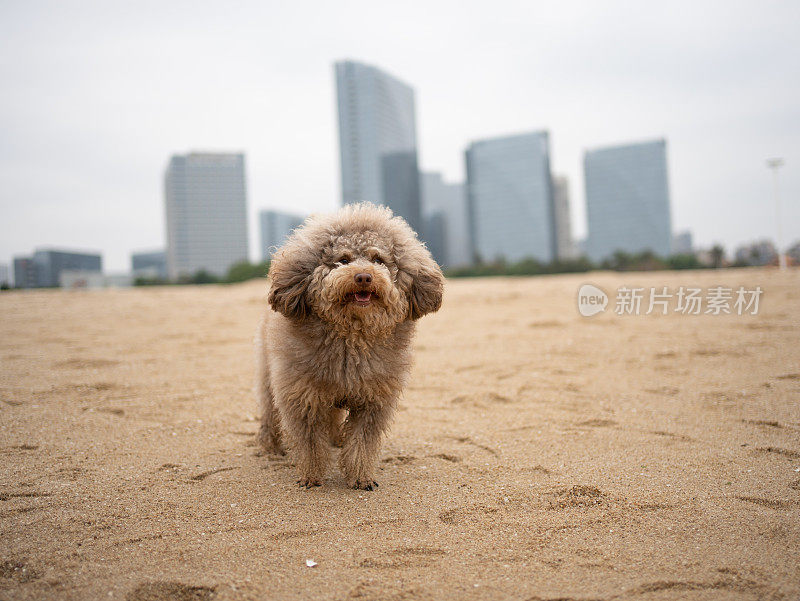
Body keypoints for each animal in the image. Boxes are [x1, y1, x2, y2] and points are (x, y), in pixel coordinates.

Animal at [255, 202, 444, 488]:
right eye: (343, 260)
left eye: (378, 260)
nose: (364, 277)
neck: (351, 337)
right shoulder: (301, 395)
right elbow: (310, 442)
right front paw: (311, 476)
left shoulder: (374, 400)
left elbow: (362, 442)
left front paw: (360, 477)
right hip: (270, 373)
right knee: (269, 411)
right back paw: (270, 447)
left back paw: (335, 440)